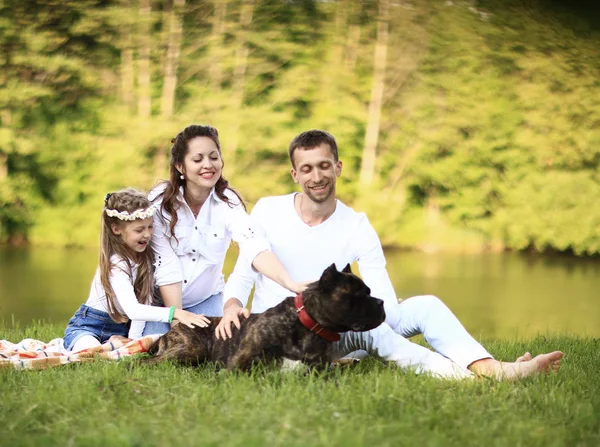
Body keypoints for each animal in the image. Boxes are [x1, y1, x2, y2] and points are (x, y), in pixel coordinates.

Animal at [148, 264, 386, 372]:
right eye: (360, 295)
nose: (381, 302)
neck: (306, 325)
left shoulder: (319, 369)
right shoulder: (238, 364)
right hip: (192, 350)